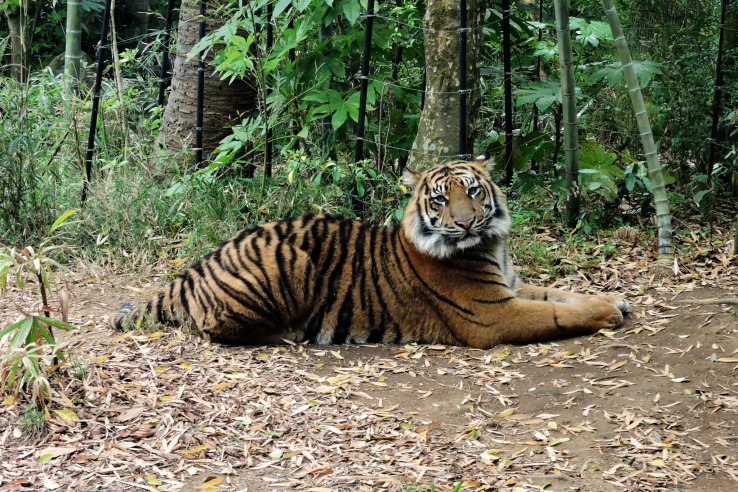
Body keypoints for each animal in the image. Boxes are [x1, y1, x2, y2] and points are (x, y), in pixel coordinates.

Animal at [110, 159, 630, 349]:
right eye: (440, 199)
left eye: (473, 191)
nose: (465, 222)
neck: (490, 244)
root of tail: (194, 268)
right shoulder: (493, 315)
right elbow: (558, 314)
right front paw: (608, 312)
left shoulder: (511, 286)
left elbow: (560, 293)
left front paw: (615, 299)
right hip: (291, 262)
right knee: (216, 330)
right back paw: (288, 333)